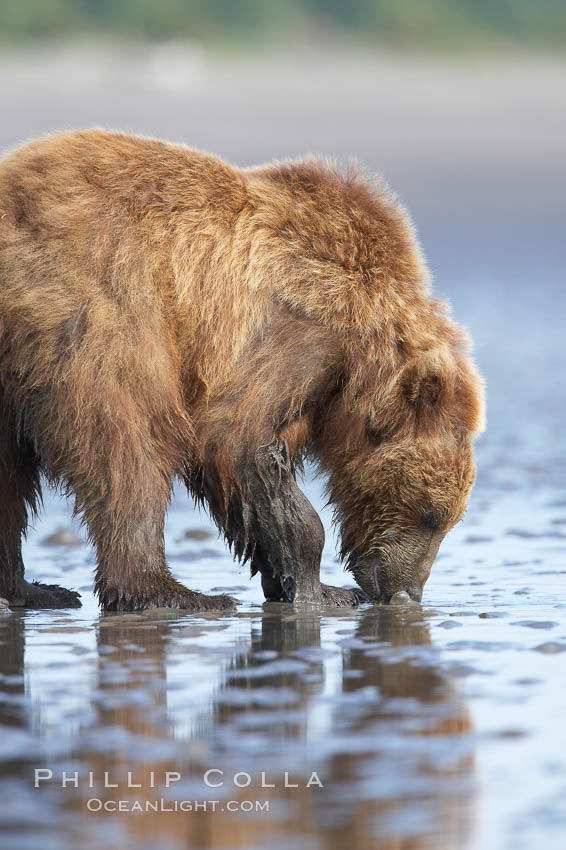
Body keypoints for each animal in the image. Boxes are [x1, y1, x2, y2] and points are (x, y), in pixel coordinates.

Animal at [0, 129, 484, 608]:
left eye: (449, 521)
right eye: (430, 514)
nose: (408, 592)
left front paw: (298, 584)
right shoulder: (293, 331)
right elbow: (236, 437)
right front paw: (318, 589)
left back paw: (33, 589)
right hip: (98, 303)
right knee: (128, 441)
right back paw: (171, 592)